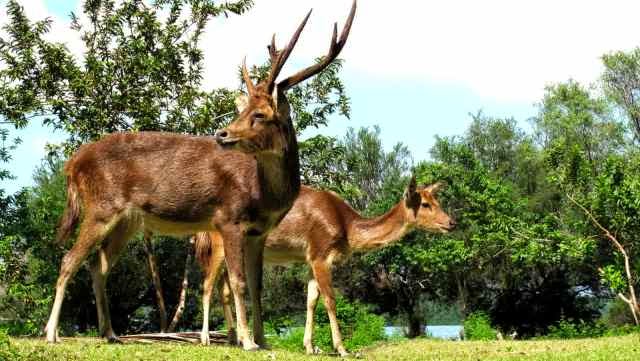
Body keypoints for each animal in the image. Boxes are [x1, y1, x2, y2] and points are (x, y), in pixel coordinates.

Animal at [46, 0, 356, 348]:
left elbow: (257, 286)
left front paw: (263, 341)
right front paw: (247, 341)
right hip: (101, 206)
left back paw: (110, 333)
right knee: (69, 259)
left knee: (98, 264)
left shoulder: (259, 231)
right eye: (241, 110)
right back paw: (52, 333)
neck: (265, 195)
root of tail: (73, 163)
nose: (223, 134)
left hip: (126, 220)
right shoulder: (229, 219)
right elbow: (237, 281)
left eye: (260, 114)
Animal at [195, 177, 456, 354]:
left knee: (224, 288)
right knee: (207, 285)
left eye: (437, 200)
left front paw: (310, 346)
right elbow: (330, 299)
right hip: (219, 243)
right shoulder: (321, 253)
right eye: (425, 204)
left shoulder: (310, 258)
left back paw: (234, 339)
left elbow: (311, 300)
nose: (452, 222)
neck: (347, 229)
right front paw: (341, 348)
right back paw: (207, 338)